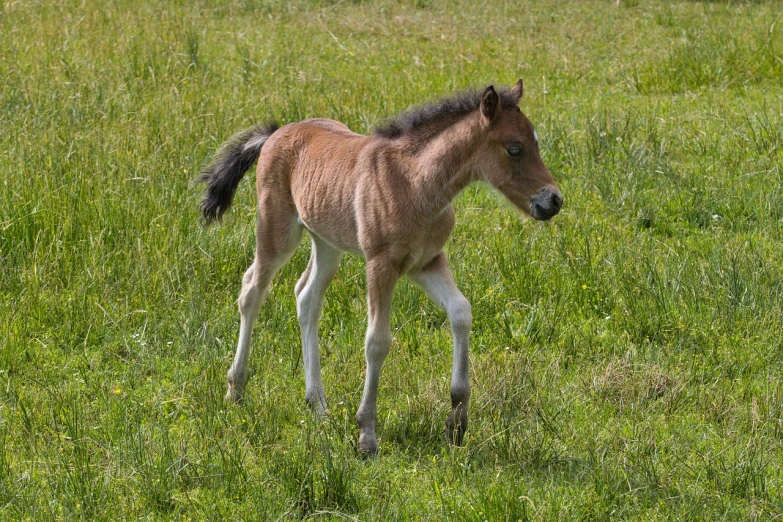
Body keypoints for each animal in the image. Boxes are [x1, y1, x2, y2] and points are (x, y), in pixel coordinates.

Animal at [199, 79, 560, 452]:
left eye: (535, 142)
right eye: (514, 149)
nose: (553, 200)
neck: (416, 183)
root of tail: (276, 132)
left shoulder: (426, 262)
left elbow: (461, 312)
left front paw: (457, 422)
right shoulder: (381, 264)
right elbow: (377, 341)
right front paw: (366, 435)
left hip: (327, 240)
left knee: (306, 297)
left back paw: (318, 406)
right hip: (277, 230)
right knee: (252, 290)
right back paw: (236, 389)